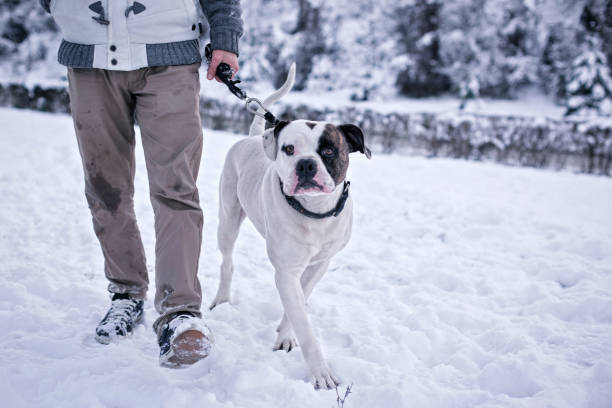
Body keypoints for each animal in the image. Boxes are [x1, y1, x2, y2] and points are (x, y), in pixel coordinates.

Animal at [210, 63, 370, 388]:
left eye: (329, 150)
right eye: (289, 149)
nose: (306, 164)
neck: (314, 212)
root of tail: (253, 137)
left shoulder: (320, 263)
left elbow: (300, 299)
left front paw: (285, 333)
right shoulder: (286, 270)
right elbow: (305, 325)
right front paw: (321, 373)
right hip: (228, 218)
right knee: (227, 261)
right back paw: (221, 298)